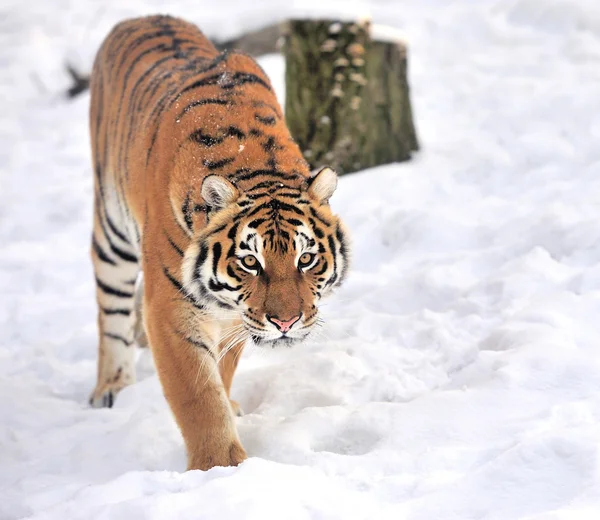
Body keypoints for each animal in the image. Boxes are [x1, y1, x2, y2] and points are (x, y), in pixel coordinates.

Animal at [89, 15, 352, 472]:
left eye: (306, 259)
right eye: (250, 262)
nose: (286, 322)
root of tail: (141, 17)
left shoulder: (232, 315)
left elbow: (221, 374)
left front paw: (230, 411)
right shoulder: (171, 309)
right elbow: (198, 397)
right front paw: (219, 468)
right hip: (112, 232)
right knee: (111, 309)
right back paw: (111, 386)